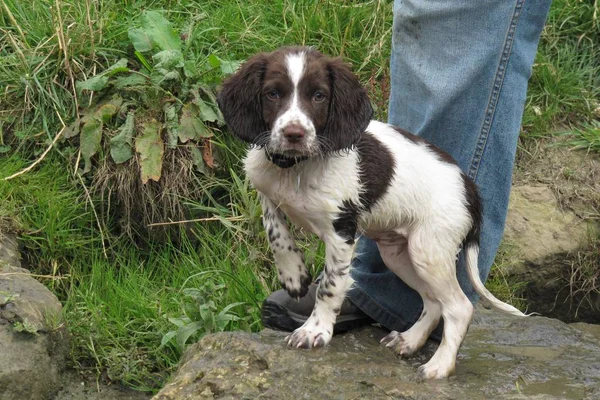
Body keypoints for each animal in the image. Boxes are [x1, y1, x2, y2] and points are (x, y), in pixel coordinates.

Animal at [216, 46, 524, 378]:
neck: (296, 167)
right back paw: (410, 340)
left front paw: (314, 330)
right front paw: (294, 276)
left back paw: (440, 365)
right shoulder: (266, 191)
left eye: (319, 96)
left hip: (429, 250)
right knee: (433, 301)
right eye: (273, 93)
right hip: (399, 254)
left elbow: (330, 285)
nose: (293, 134)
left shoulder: (342, 230)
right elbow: (275, 232)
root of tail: (470, 188)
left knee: (459, 307)